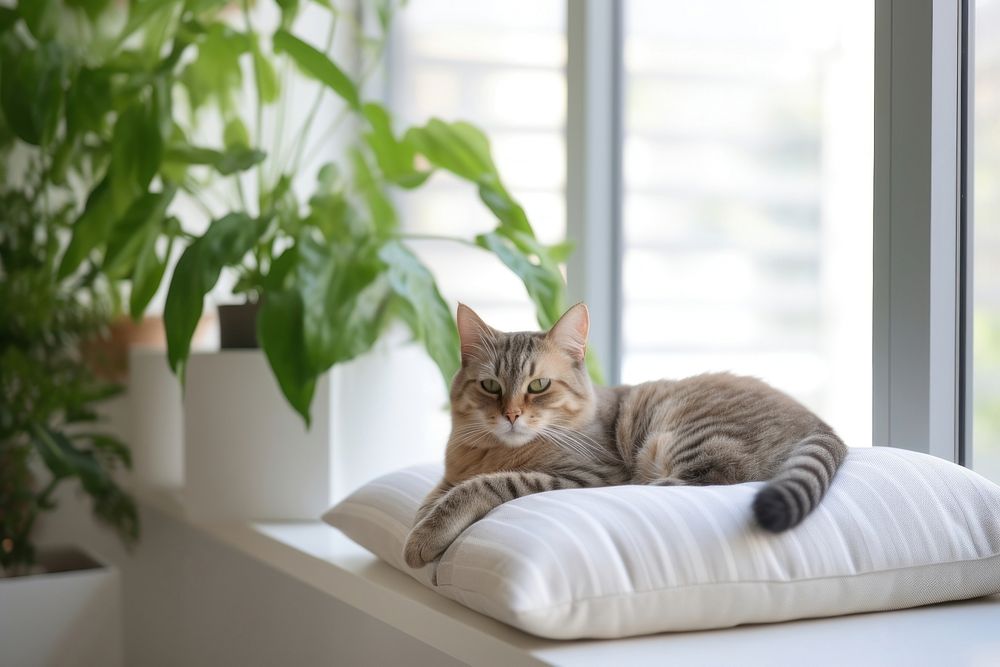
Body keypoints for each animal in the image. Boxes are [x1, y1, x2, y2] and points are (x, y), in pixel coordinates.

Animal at [402, 302, 848, 568]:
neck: (490, 453)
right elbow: (433, 495)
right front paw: (422, 519)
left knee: (700, 479)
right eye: (491, 386)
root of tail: (824, 426)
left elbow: (479, 487)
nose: (511, 415)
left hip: (682, 438)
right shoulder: (449, 474)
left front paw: (424, 536)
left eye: (538, 385)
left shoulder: (588, 474)